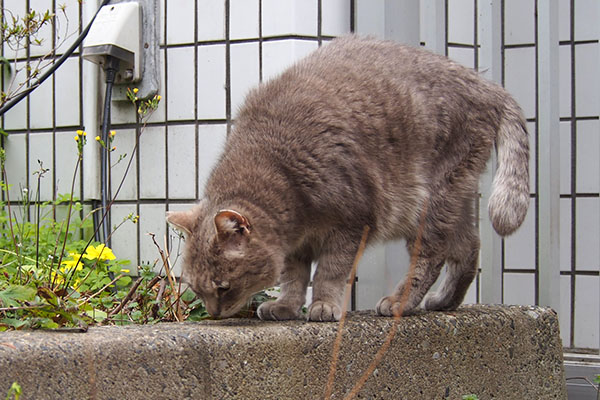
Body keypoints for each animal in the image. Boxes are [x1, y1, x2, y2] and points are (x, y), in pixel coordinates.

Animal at [166, 34, 528, 322]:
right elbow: (294, 277)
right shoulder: (295, 244)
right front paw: (286, 306)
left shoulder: (351, 224)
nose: (213, 314)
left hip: (430, 202)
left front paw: (324, 305)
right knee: (469, 245)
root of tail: (486, 85)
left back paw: (401, 301)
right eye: (197, 288)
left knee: (430, 256)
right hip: (454, 197)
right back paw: (444, 301)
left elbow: (330, 272)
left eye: (222, 287)